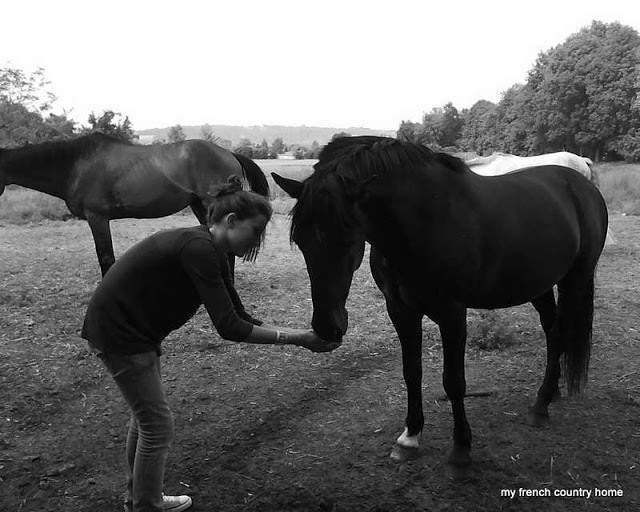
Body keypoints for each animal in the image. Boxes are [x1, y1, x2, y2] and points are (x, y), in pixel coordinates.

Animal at [272, 136, 608, 477]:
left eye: (346, 240)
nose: (327, 328)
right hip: (538, 284)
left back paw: (540, 407)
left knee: (561, 332)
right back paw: (549, 395)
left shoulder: (452, 314)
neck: (425, 221)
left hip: (575, 279)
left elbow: (454, 381)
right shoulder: (401, 311)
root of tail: (582, 182)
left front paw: (460, 451)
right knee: (553, 332)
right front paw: (409, 438)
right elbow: (412, 371)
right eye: (301, 242)